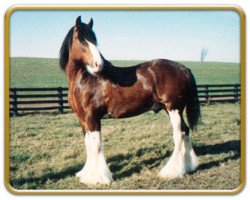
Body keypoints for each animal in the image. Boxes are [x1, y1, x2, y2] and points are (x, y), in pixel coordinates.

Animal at [59, 16, 201, 185]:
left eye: (94, 38)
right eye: (81, 39)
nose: (99, 64)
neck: (85, 79)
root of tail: (183, 69)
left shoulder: (92, 117)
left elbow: (96, 145)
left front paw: (99, 178)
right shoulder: (82, 119)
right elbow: (89, 144)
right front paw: (86, 174)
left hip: (174, 108)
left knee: (178, 135)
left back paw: (170, 172)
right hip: (172, 110)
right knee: (185, 131)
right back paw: (188, 167)